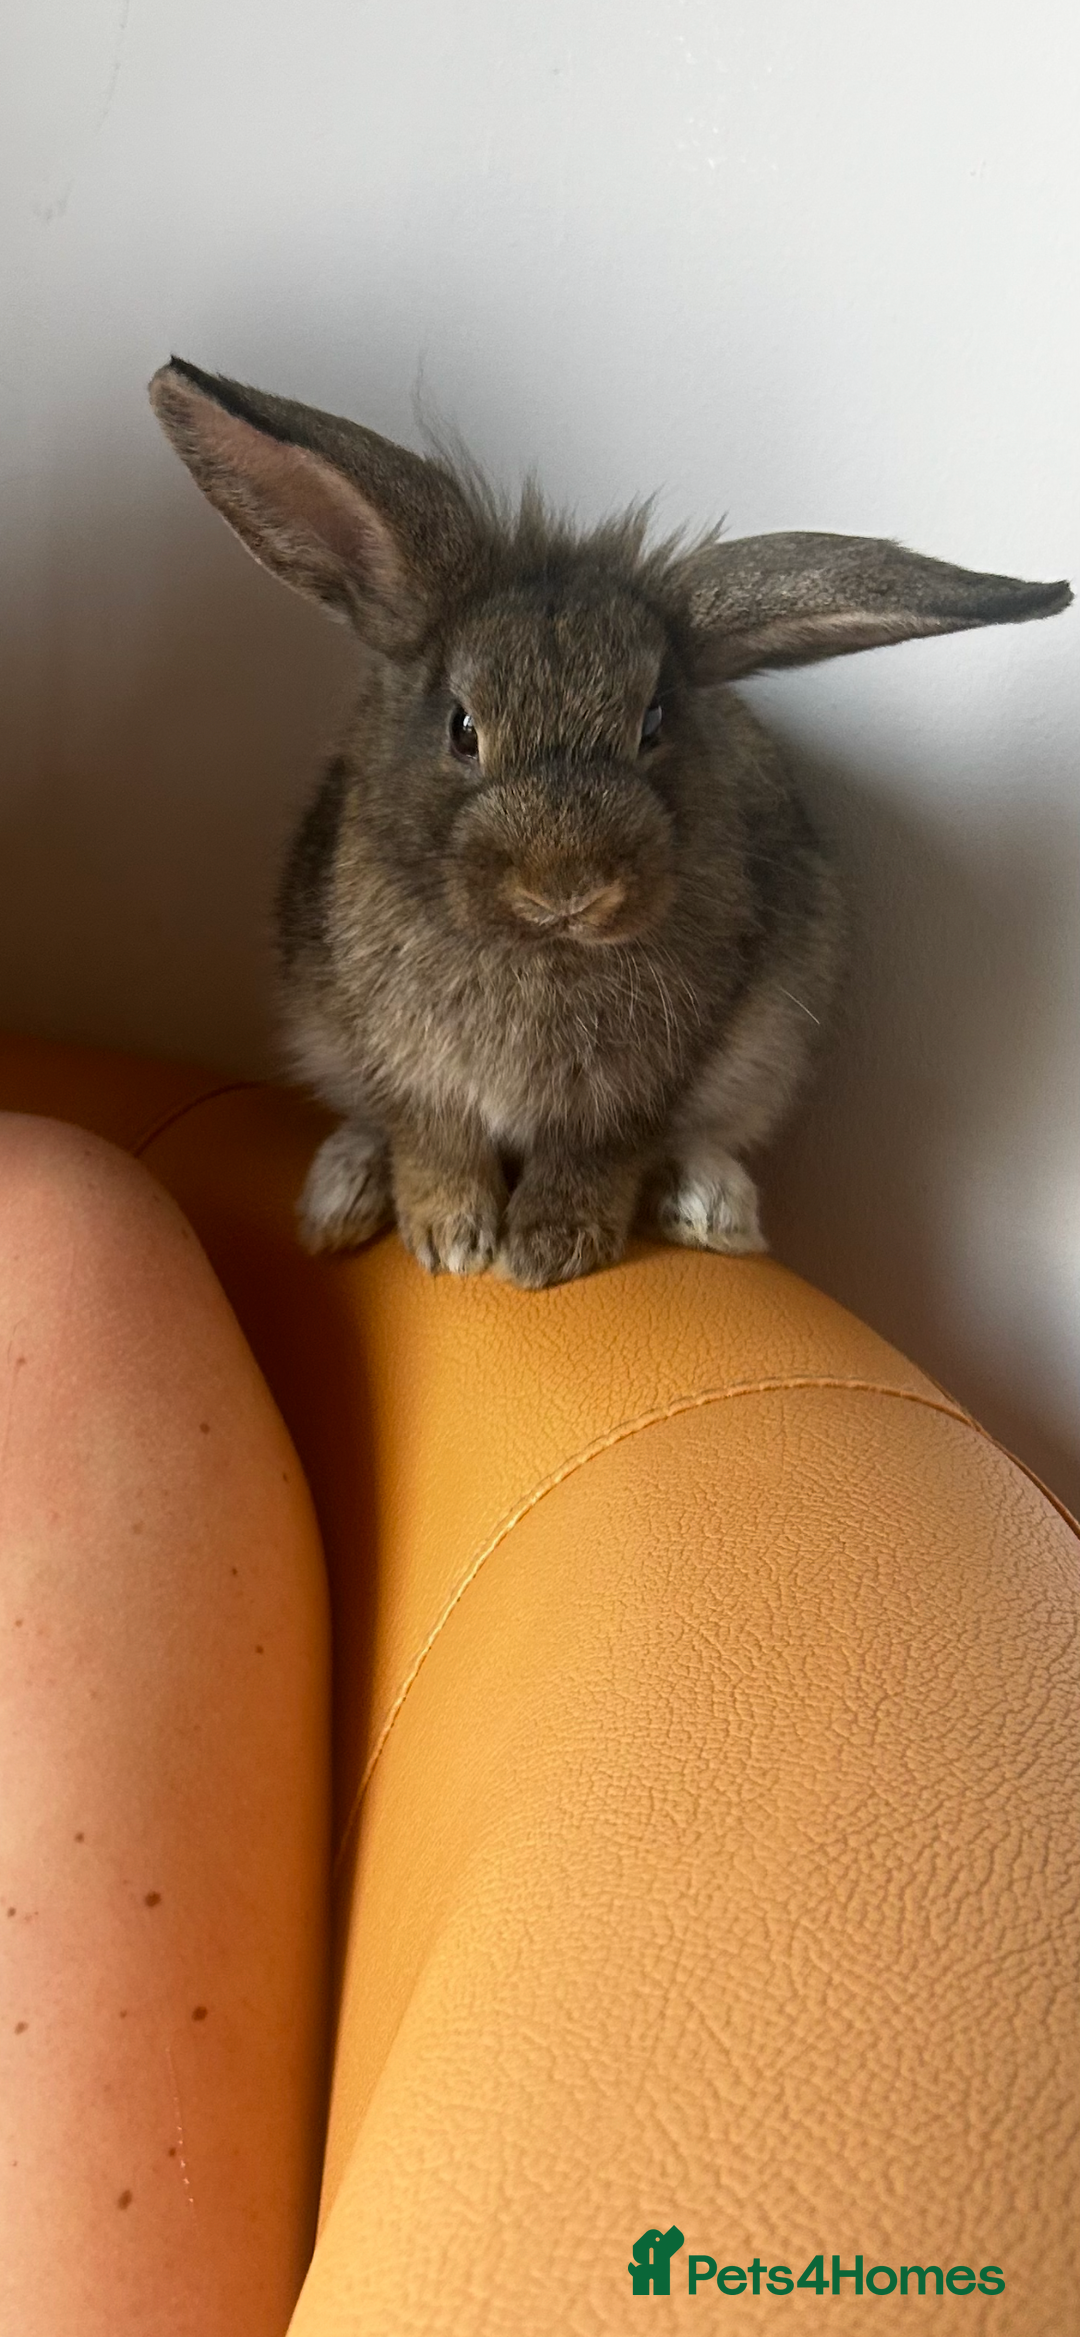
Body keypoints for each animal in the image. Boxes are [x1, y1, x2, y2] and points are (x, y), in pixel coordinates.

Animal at [149, 358, 1071, 1288]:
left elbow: (598, 1155)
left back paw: (713, 1209)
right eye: (461, 726)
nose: (567, 887)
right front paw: (452, 1241)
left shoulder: (634, 1093)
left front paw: (550, 1249)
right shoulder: (409, 1072)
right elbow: (434, 1142)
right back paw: (340, 1198)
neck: (544, 952)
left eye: (654, 722)